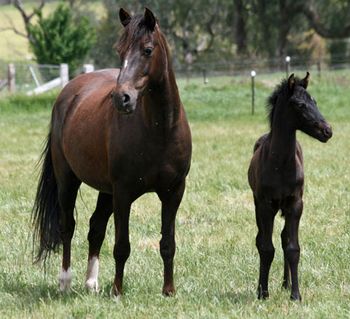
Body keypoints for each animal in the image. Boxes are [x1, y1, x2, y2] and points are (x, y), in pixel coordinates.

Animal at [32, 7, 191, 298]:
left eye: (148, 50)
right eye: (120, 51)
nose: (121, 98)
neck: (160, 130)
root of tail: (67, 93)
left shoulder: (173, 192)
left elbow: (168, 243)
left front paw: (168, 291)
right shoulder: (124, 193)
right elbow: (122, 246)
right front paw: (117, 290)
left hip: (106, 190)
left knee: (95, 227)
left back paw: (91, 283)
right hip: (68, 180)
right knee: (67, 226)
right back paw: (65, 281)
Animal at [247, 73, 332, 302]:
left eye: (314, 101)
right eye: (299, 104)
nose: (327, 131)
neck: (281, 164)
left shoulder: (295, 204)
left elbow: (292, 247)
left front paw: (296, 294)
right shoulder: (266, 205)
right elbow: (266, 248)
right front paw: (263, 292)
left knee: (284, 238)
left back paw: (286, 284)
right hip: (259, 206)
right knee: (260, 239)